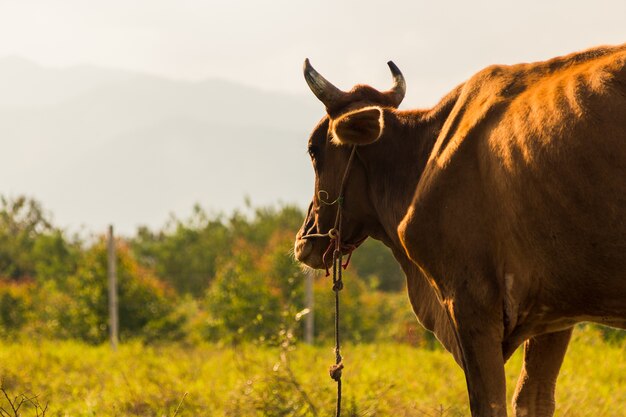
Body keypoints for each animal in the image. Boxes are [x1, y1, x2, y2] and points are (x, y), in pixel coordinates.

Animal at [294, 44, 624, 414]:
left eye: (313, 149)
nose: (304, 241)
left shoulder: (470, 303)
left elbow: (489, 404)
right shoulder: (553, 313)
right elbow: (532, 399)